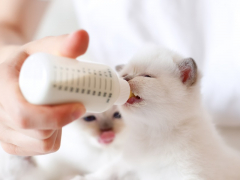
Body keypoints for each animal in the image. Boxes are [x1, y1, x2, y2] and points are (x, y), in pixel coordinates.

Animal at [73, 46, 240, 180]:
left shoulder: (189, 174)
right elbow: (108, 171)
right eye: (124, 75)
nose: (125, 79)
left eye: (146, 76)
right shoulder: (127, 162)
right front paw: (82, 178)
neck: (152, 132)